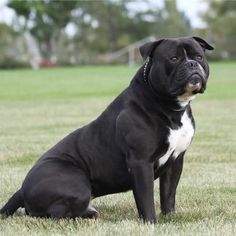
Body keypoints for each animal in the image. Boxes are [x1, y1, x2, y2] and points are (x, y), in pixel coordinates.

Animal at [0, 36, 214, 223]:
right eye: (174, 58)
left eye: (198, 57)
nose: (192, 64)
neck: (171, 106)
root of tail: (21, 189)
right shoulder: (140, 162)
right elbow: (146, 199)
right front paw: (151, 223)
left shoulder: (176, 160)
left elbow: (168, 194)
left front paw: (170, 218)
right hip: (77, 183)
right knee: (52, 213)